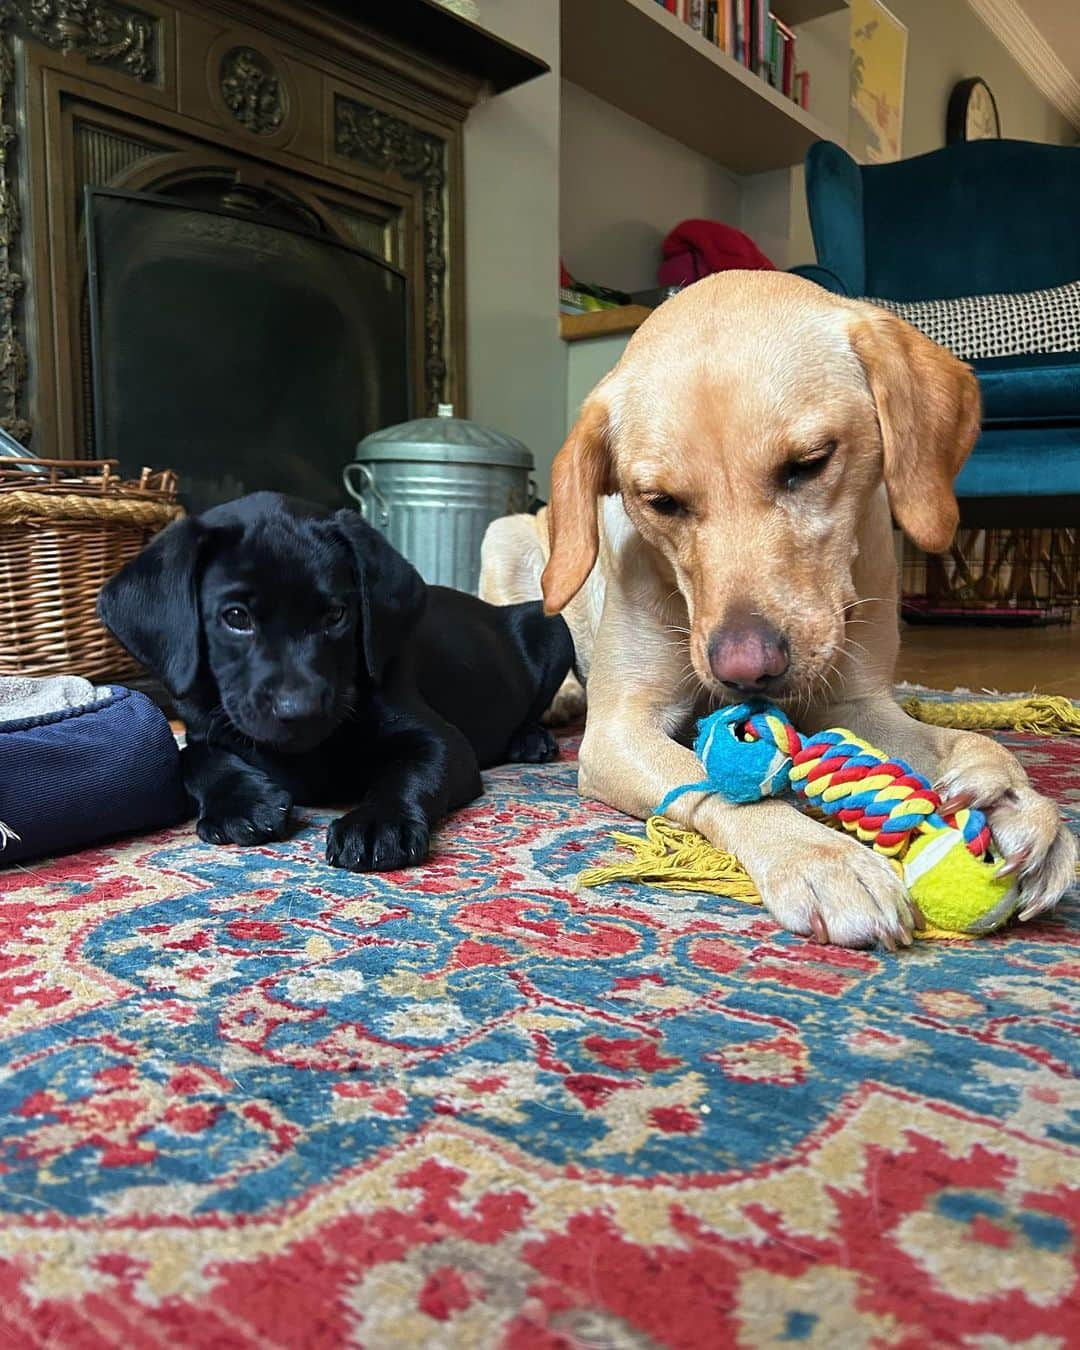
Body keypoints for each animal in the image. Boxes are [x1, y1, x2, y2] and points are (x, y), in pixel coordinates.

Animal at [99, 491, 572, 869]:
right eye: (236, 617)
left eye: (336, 615)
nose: (300, 710)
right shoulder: (200, 725)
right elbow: (189, 758)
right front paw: (241, 801)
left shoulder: (443, 742)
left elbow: (410, 772)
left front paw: (378, 822)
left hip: (553, 627)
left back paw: (530, 740)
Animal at [486, 271, 1074, 950]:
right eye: (659, 501)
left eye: (810, 463)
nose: (747, 671)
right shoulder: (617, 733)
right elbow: (714, 783)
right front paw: (821, 858)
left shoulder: (856, 702)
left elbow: (963, 741)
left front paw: (1012, 797)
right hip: (508, 538)